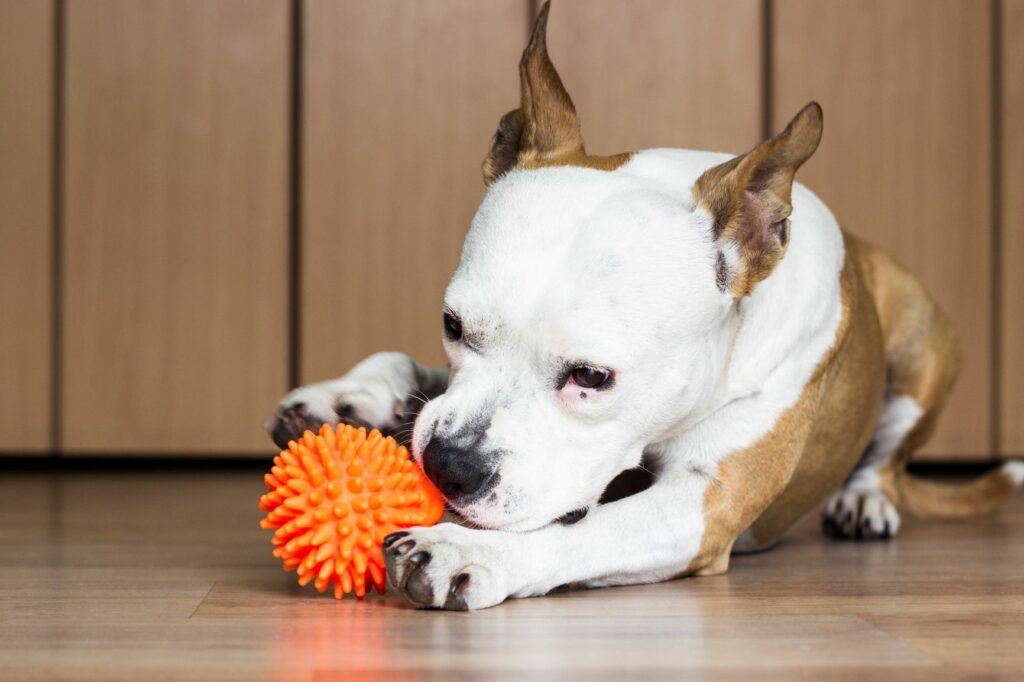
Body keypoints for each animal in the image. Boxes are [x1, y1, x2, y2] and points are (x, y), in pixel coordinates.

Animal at [266, 2, 1024, 606]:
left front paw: (471, 550)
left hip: (924, 339)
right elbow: (414, 367)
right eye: (451, 325)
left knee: (889, 459)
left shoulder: (702, 504)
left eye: (592, 377)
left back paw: (865, 498)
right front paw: (350, 396)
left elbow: (584, 531)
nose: (451, 463)